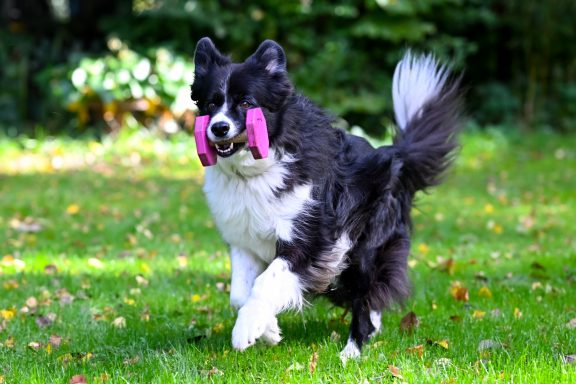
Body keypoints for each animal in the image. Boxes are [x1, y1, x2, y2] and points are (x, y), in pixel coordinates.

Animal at [191, 37, 462, 358]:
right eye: (210, 104)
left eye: (246, 103)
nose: (218, 128)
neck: (253, 171)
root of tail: (394, 155)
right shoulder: (244, 242)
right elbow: (240, 293)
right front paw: (268, 329)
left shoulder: (313, 240)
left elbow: (267, 281)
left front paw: (246, 329)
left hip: (365, 247)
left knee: (365, 292)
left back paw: (352, 351)